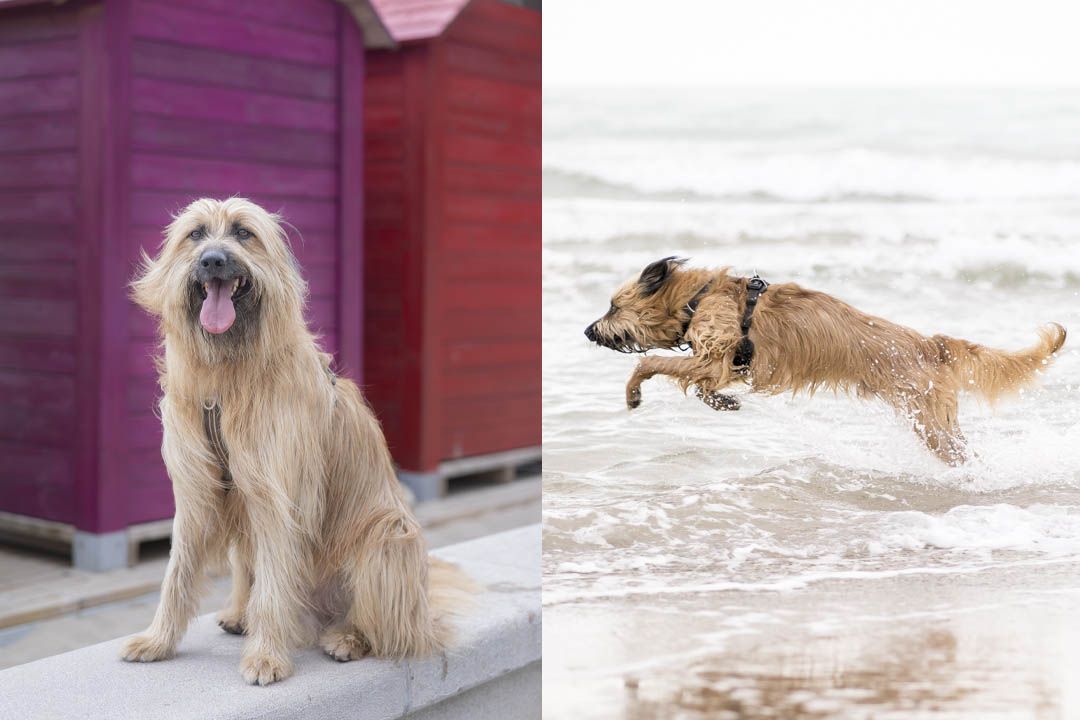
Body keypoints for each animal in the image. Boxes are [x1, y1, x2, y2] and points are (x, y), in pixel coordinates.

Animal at [120, 198, 470, 686]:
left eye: (243, 233)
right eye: (196, 234)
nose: (213, 260)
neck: (227, 380)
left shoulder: (276, 497)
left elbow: (273, 583)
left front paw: (266, 656)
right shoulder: (198, 493)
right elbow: (177, 573)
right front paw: (157, 641)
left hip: (388, 536)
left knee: (386, 628)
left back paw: (347, 637)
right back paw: (240, 614)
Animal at [583, 255, 1062, 464]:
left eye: (612, 306)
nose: (588, 331)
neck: (696, 298)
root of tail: (930, 343)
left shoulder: (714, 354)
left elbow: (649, 364)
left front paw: (633, 395)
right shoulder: (722, 364)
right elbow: (704, 385)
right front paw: (722, 402)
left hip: (927, 421)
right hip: (935, 418)